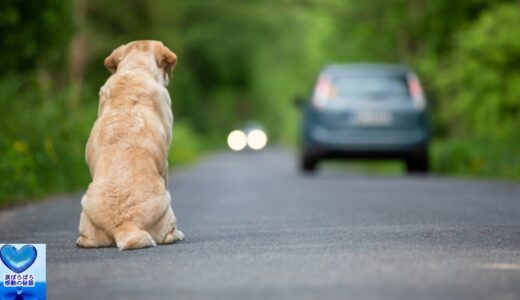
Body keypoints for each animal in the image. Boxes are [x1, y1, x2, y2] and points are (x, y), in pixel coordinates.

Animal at [75, 40, 183, 251]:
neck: (135, 69)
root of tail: (124, 225)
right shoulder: (165, 164)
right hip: (166, 202)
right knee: (167, 234)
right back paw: (177, 235)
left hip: (85, 210)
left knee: (86, 240)